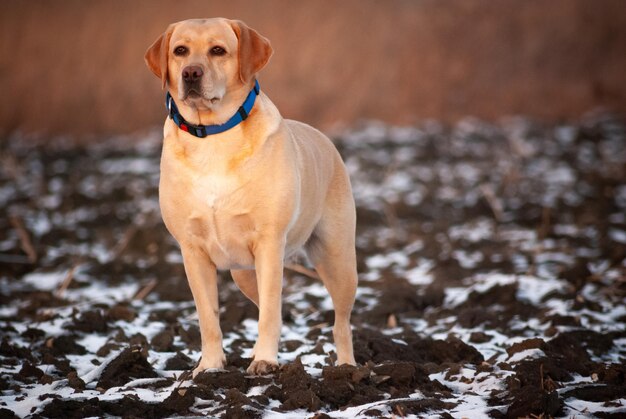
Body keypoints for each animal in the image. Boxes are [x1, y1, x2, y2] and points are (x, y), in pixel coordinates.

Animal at [143, 18, 356, 376]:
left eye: (218, 50)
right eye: (180, 51)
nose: (191, 73)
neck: (212, 135)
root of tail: (324, 138)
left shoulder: (269, 242)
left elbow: (269, 315)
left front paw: (265, 361)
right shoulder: (192, 251)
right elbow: (209, 319)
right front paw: (209, 367)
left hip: (336, 259)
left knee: (340, 322)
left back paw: (346, 367)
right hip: (243, 273)